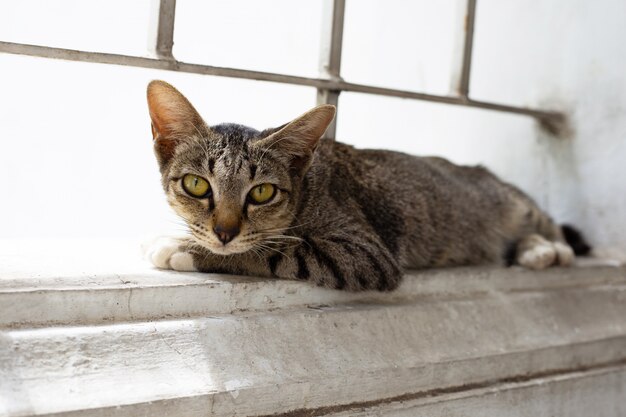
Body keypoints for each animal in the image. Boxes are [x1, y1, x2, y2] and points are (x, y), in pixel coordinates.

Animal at [144, 79, 588, 290]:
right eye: (197, 185)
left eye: (262, 192)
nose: (224, 231)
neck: (308, 190)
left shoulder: (366, 253)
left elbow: (275, 250)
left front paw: (184, 249)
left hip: (516, 204)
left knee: (547, 223)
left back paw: (548, 249)